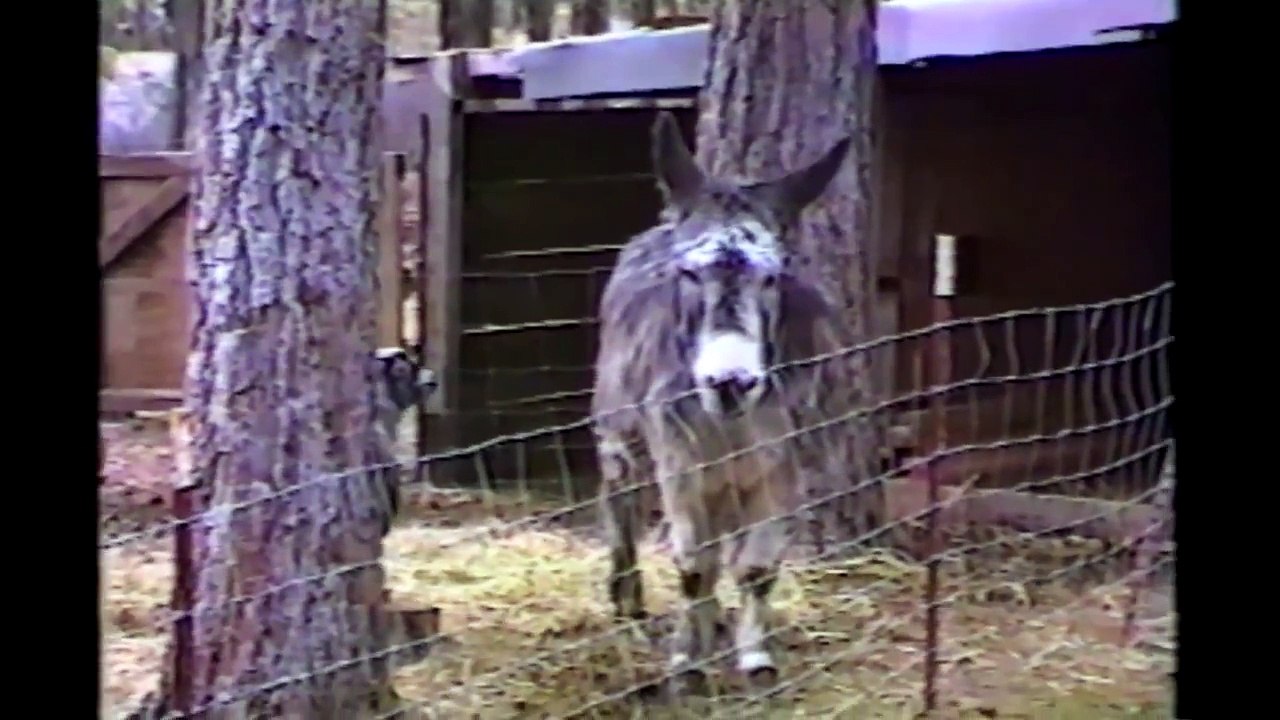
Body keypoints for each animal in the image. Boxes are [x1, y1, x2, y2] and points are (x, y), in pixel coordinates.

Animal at [591, 111, 852, 693]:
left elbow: (756, 567)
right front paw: (687, 661)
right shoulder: (678, 462)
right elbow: (694, 565)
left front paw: (754, 659)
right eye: (689, 273)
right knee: (622, 501)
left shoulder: (787, 465)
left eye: (772, 275)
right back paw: (628, 598)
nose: (729, 381)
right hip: (620, 435)